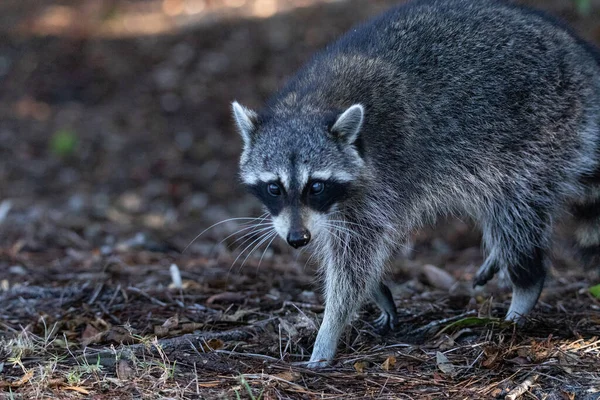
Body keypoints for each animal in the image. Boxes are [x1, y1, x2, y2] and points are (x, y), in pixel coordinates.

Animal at [231, 0, 600, 368]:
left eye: (316, 186)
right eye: (274, 188)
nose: (297, 239)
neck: (309, 105)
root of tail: (580, 56)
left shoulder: (383, 177)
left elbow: (356, 256)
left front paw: (330, 328)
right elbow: (343, 244)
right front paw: (373, 290)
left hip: (538, 133)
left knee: (515, 214)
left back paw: (524, 290)